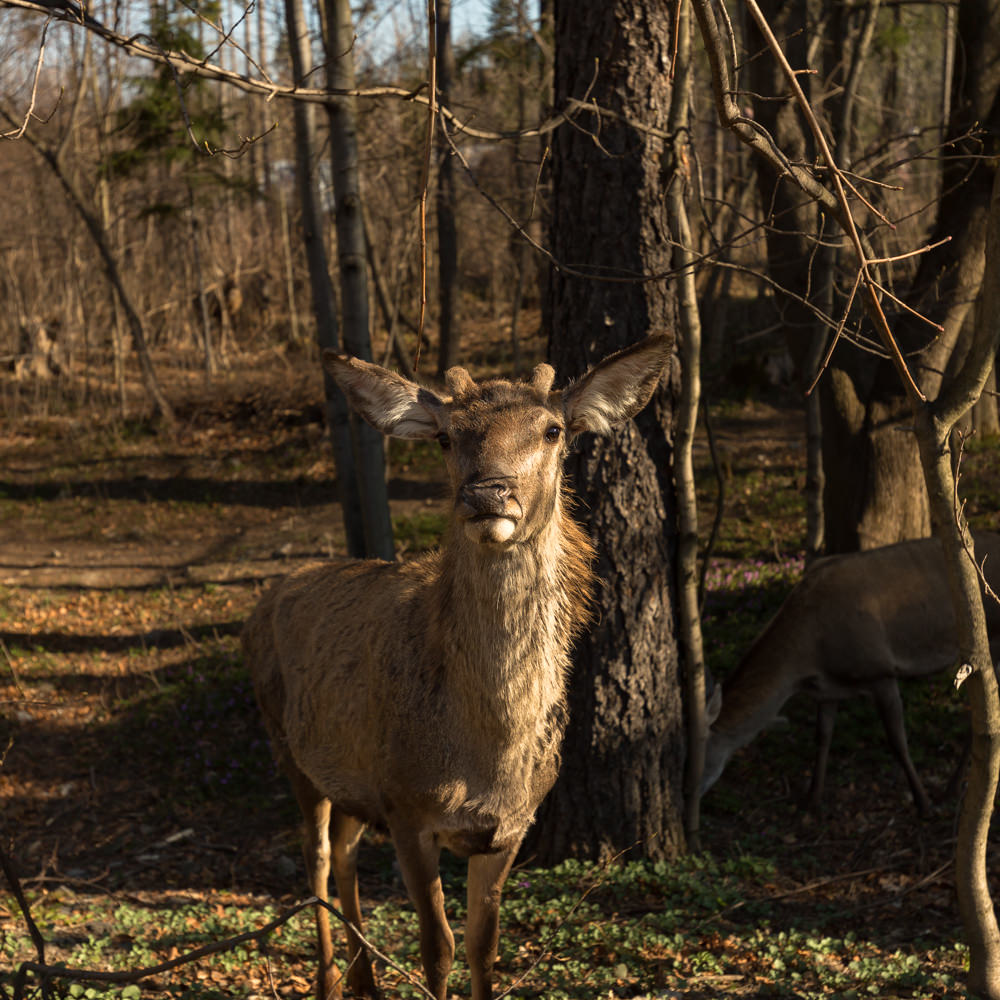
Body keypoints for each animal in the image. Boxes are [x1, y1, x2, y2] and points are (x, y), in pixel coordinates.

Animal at [244, 336, 672, 1000]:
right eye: (446, 436)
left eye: (553, 429)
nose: (487, 494)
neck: (486, 757)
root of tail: (264, 600)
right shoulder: (408, 806)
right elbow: (438, 949)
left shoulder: (510, 825)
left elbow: (483, 948)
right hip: (287, 747)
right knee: (314, 859)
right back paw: (329, 980)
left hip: (354, 782)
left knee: (342, 849)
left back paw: (367, 980)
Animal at [700, 536, 1000, 816]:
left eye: (695, 756)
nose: (693, 796)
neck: (807, 661)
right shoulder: (828, 689)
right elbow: (822, 736)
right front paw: (812, 799)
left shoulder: (880, 669)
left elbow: (897, 742)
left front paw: (923, 803)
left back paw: (952, 788)